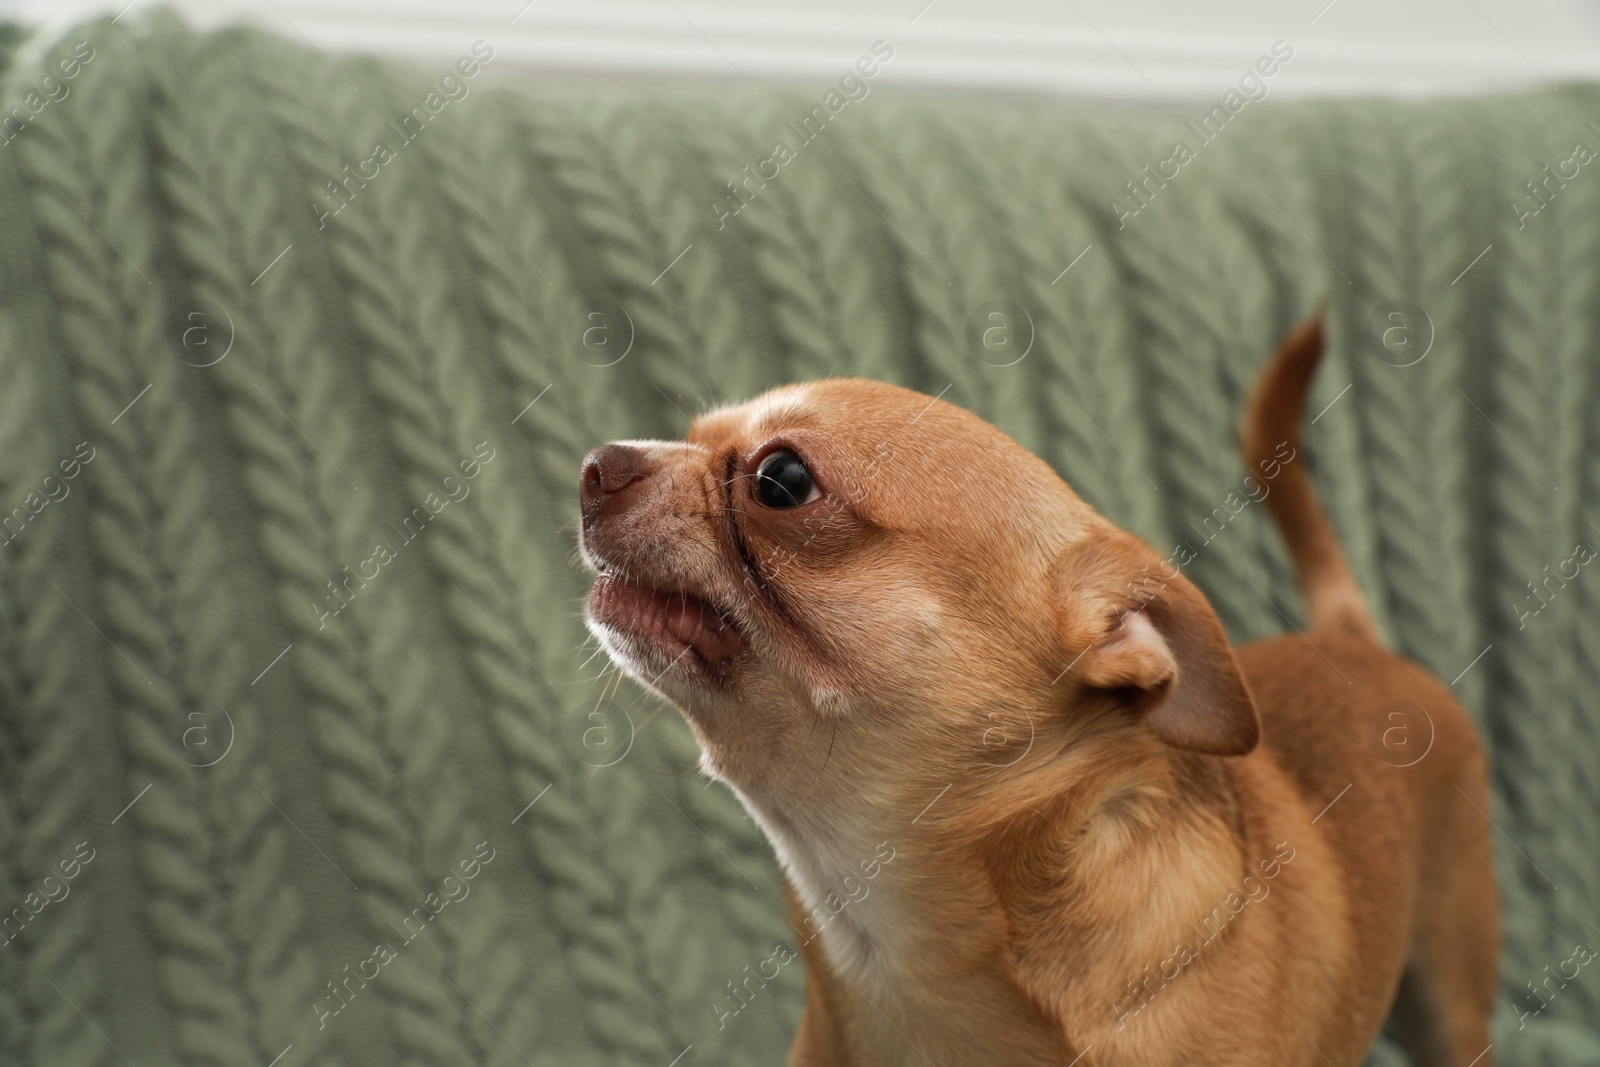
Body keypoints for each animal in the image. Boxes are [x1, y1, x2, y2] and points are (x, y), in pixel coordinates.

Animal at [585, 313, 1497, 1062]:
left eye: (781, 480)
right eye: (689, 436)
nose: (601, 462)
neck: (889, 947)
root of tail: (1352, 638)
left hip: (1449, 998)